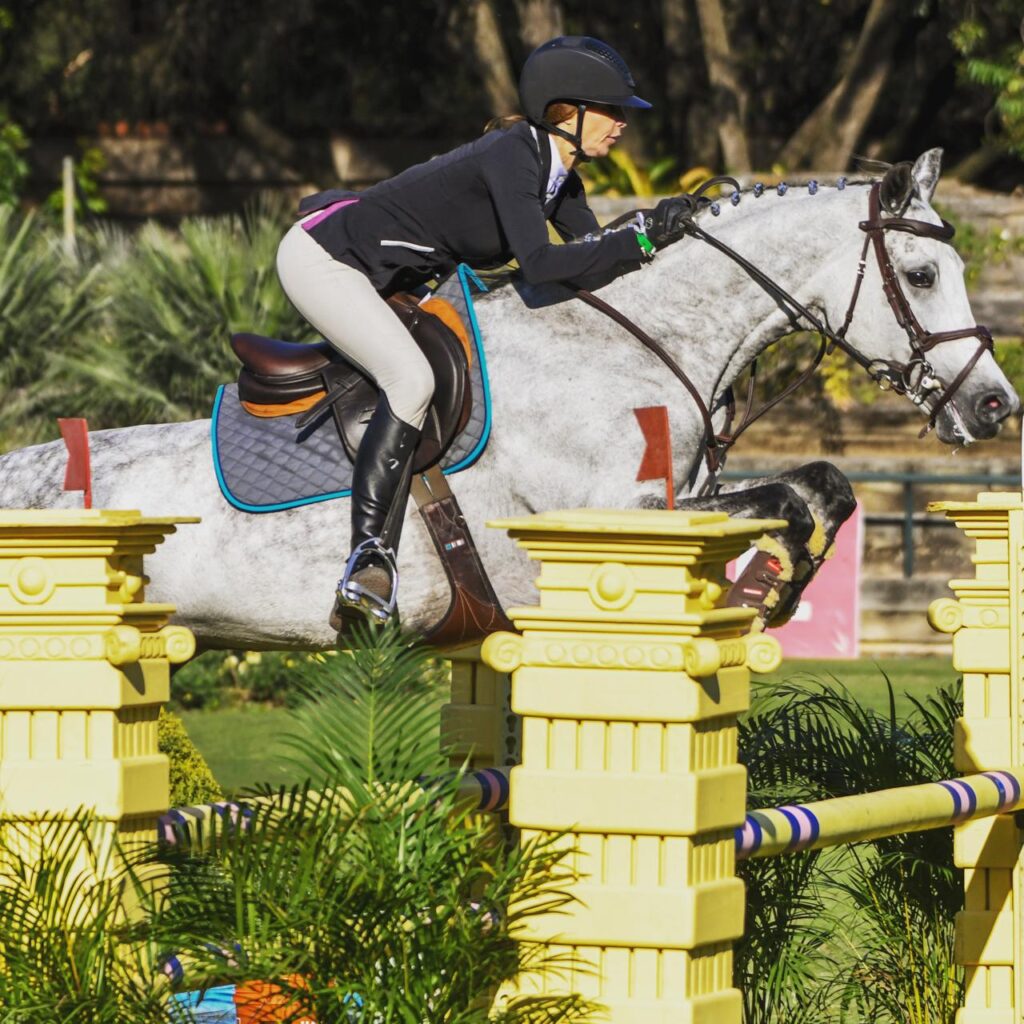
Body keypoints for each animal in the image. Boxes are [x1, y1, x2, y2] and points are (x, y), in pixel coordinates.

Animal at [0, 149, 1011, 647]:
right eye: (922, 275)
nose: (997, 408)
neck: (629, 344)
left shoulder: (685, 495)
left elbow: (820, 487)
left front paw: (779, 587)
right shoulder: (616, 516)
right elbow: (787, 501)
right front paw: (772, 589)